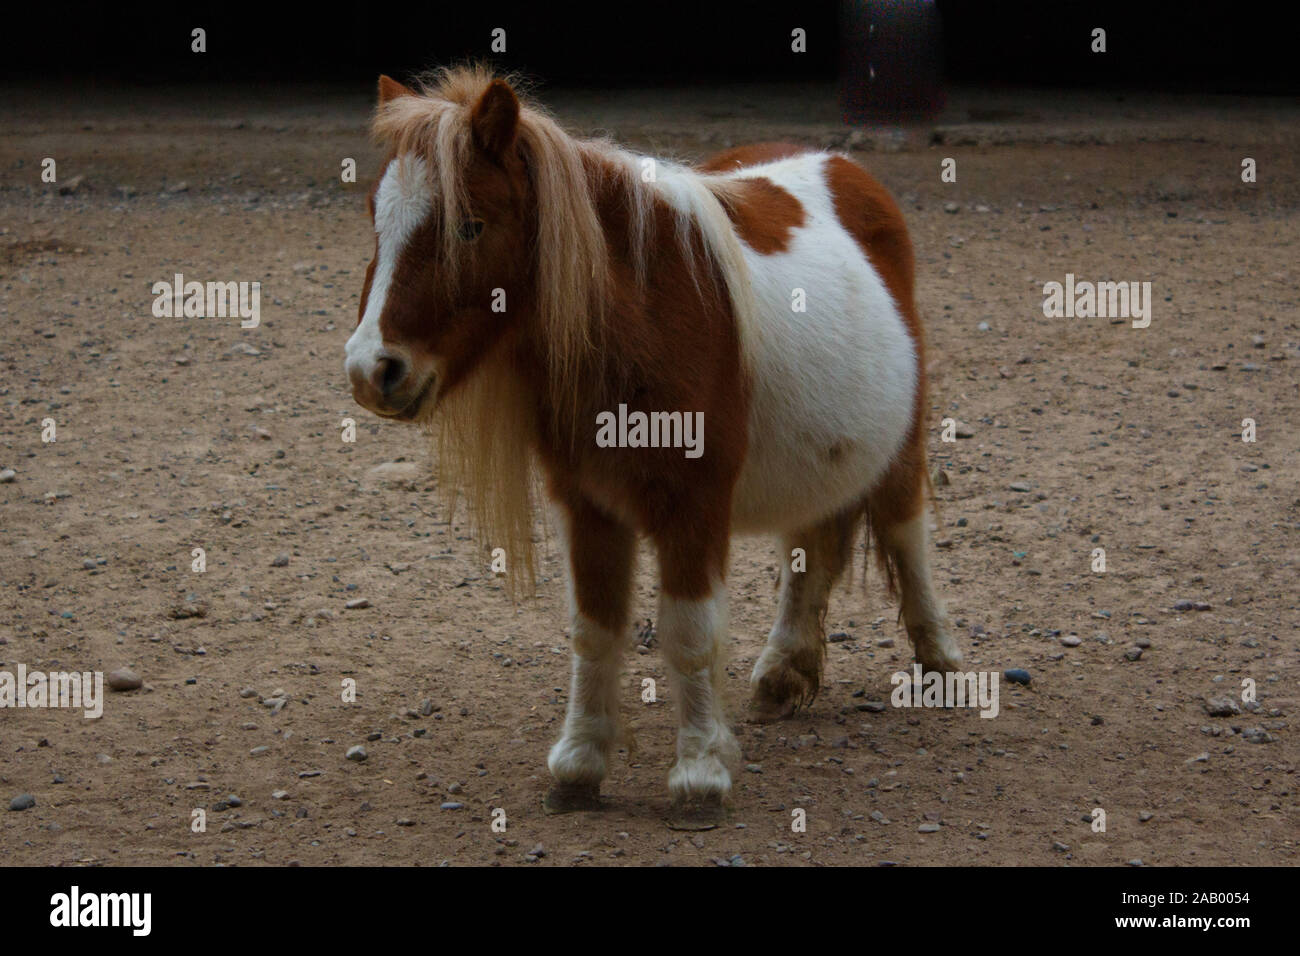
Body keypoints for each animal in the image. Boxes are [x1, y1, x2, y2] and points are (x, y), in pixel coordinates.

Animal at [340, 65, 961, 816]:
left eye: (469, 226)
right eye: (375, 217)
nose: (371, 370)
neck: (645, 318)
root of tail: (844, 167)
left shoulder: (693, 506)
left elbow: (690, 634)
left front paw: (699, 776)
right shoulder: (588, 504)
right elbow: (595, 628)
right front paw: (579, 767)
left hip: (899, 448)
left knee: (907, 533)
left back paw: (941, 664)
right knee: (809, 551)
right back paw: (784, 672)